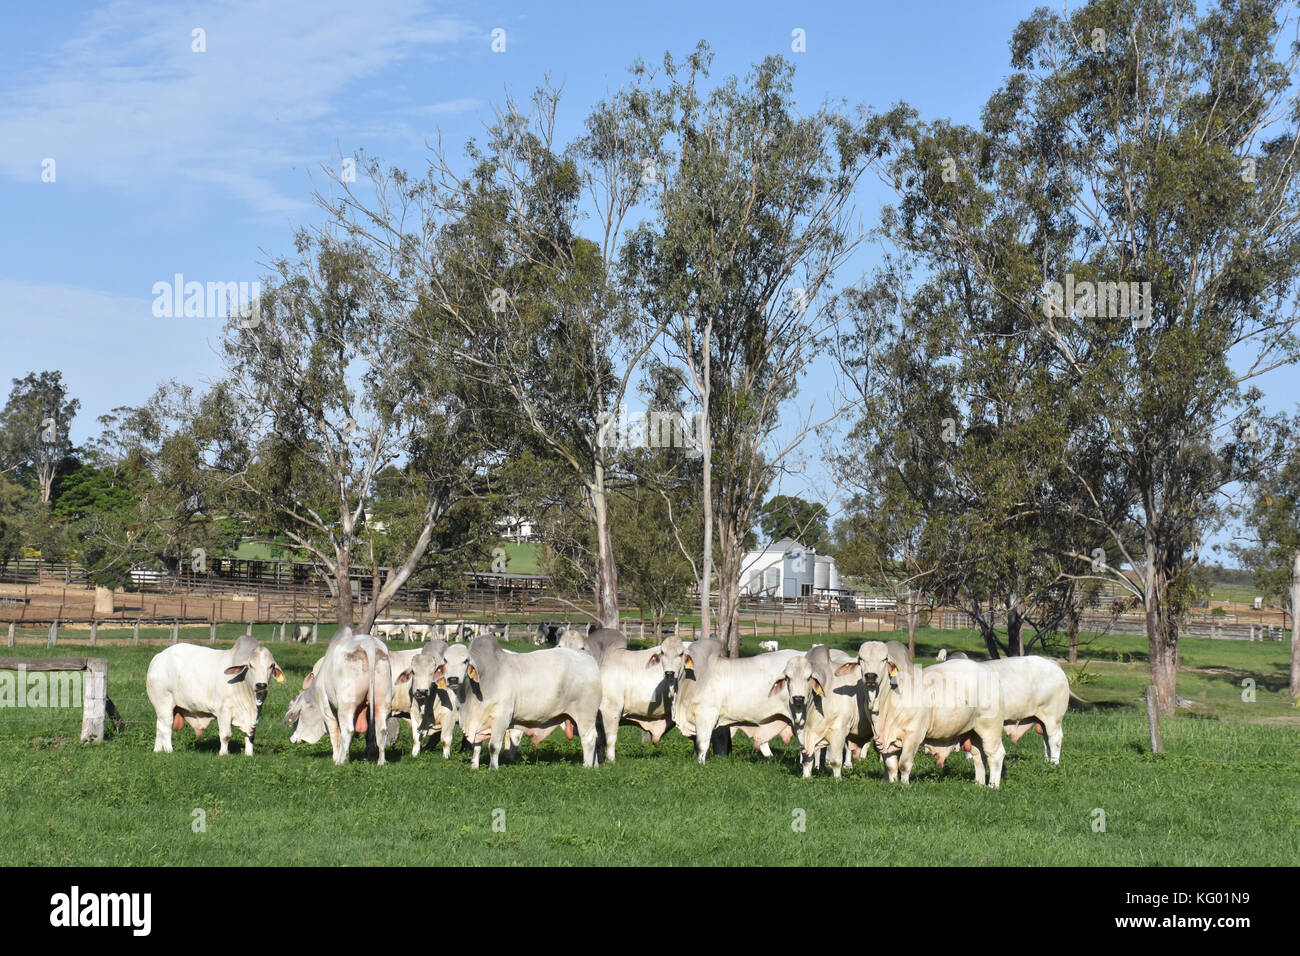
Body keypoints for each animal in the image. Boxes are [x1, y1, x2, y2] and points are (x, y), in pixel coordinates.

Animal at [149, 639, 287, 759]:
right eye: (250, 665)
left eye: (271, 666)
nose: (261, 685)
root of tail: (158, 657)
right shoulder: (223, 711)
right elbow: (226, 735)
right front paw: (223, 753)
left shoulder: (256, 715)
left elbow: (250, 736)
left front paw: (249, 754)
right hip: (164, 702)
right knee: (166, 727)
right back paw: (169, 750)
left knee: (159, 726)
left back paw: (157, 750)